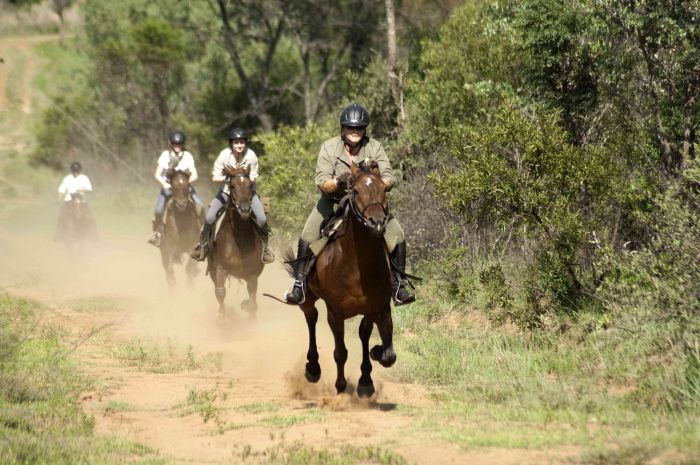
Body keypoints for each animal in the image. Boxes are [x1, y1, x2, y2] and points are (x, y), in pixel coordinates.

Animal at [208, 166, 266, 320]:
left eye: (250, 185)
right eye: (232, 186)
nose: (244, 209)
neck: (240, 239)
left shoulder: (252, 274)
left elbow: (252, 302)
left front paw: (246, 307)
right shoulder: (220, 267)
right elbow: (220, 291)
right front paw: (221, 317)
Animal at [288, 161, 394, 396]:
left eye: (384, 189)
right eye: (356, 191)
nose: (377, 223)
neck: (357, 266)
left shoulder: (378, 309)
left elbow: (388, 354)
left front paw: (369, 371)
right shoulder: (335, 312)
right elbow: (340, 352)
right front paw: (341, 386)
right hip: (308, 298)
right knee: (311, 318)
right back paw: (313, 368)